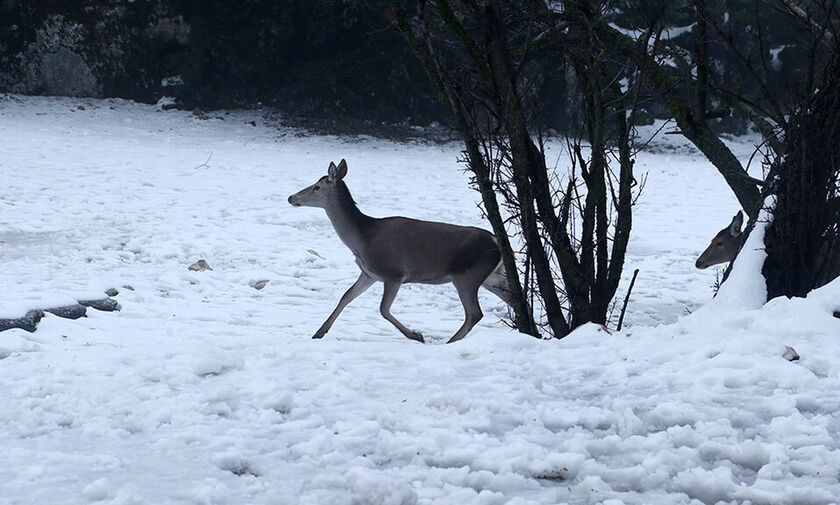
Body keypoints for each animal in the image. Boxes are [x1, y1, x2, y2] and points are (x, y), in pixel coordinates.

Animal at [286, 159, 516, 344]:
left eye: (316, 187)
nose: (291, 197)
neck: (361, 239)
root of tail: (496, 241)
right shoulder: (369, 273)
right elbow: (346, 296)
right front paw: (319, 332)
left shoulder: (393, 273)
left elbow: (383, 309)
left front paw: (415, 335)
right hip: (492, 277)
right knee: (510, 299)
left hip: (467, 275)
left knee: (474, 313)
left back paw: (450, 342)